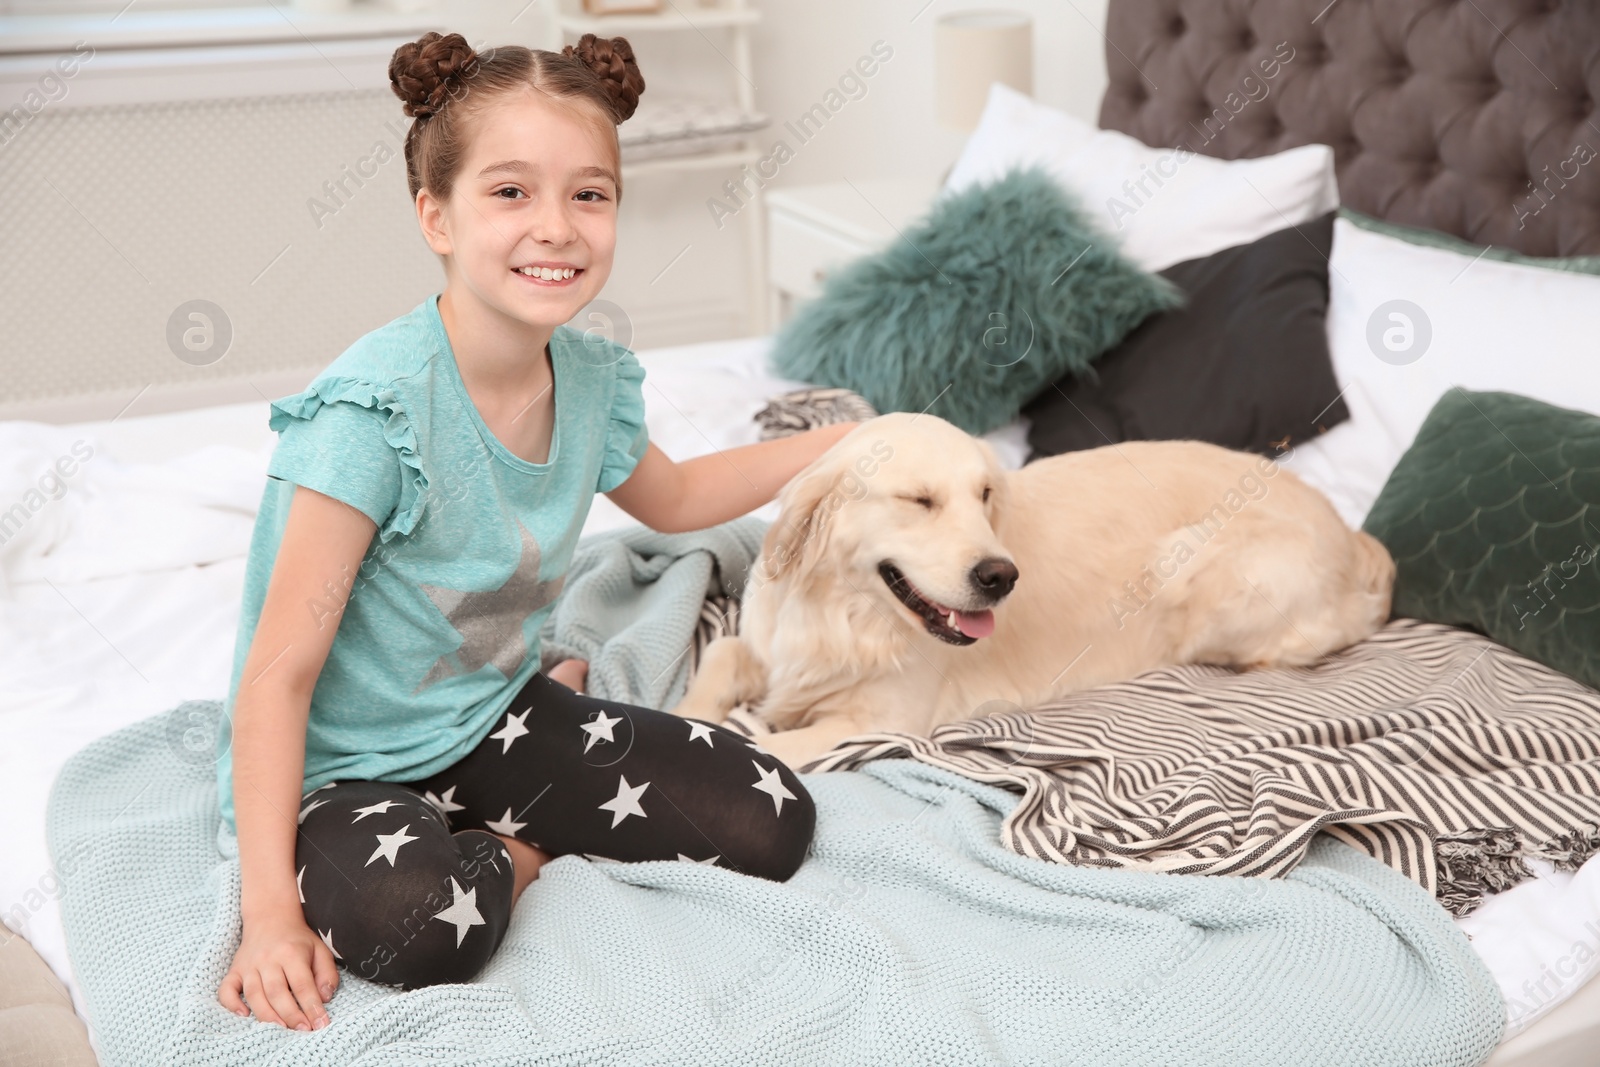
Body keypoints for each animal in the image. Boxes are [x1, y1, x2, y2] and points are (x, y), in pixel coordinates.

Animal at [668, 412, 1395, 771]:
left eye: (986, 493)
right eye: (919, 500)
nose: (1000, 576)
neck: (848, 617)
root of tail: (1350, 532)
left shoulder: (881, 721)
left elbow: (760, 745)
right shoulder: (766, 646)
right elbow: (722, 657)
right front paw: (688, 714)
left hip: (1192, 566)